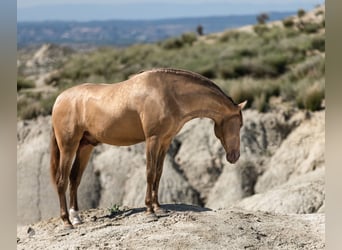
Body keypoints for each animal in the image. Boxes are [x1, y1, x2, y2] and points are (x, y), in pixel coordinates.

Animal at [50, 67, 246, 228]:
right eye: (240, 124)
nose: (235, 156)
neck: (169, 94)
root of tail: (59, 99)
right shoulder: (152, 140)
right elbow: (150, 172)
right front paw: (150, 211)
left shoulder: (165, 141)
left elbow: (158, 173)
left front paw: (158, 207)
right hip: (68, 146)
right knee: (62, 180)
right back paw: (67, 222)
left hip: (85, 146)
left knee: (74, 179)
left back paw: (76, 217)